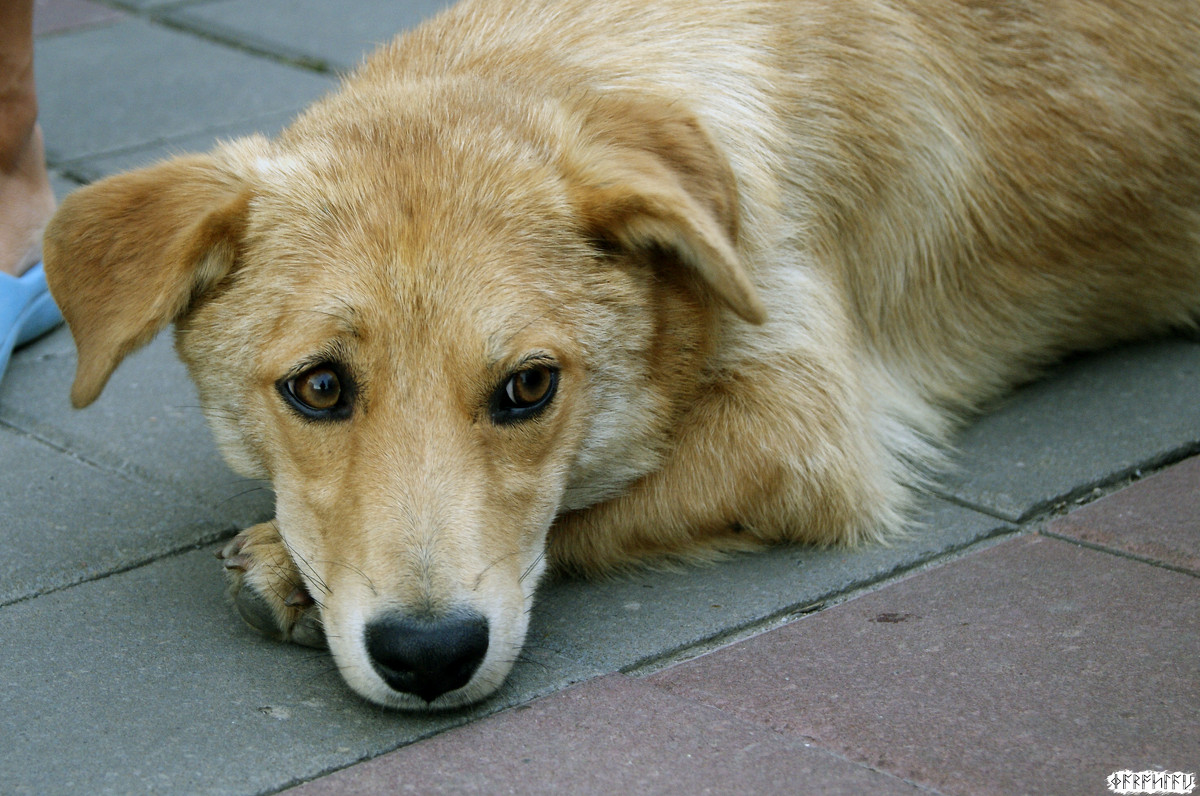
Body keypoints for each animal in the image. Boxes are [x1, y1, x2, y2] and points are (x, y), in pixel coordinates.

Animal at [42, 0, 1195, 710]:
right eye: (319, 387)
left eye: (529, 386)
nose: (428, 657)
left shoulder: (808, 430)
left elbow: (587, 507)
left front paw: (283, 564)